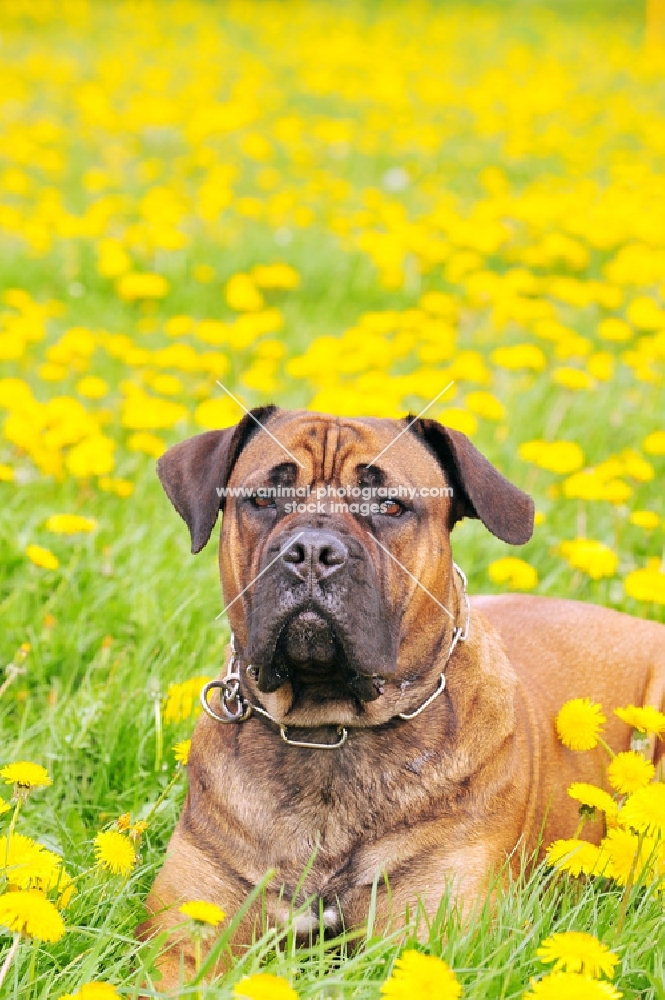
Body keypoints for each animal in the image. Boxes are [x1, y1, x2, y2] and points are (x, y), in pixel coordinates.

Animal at [143, 410, 664, 988]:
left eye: (390, 505)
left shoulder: (426, 935)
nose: (312, 551)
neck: (330, 733)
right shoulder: (185, 934)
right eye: (264, 498)